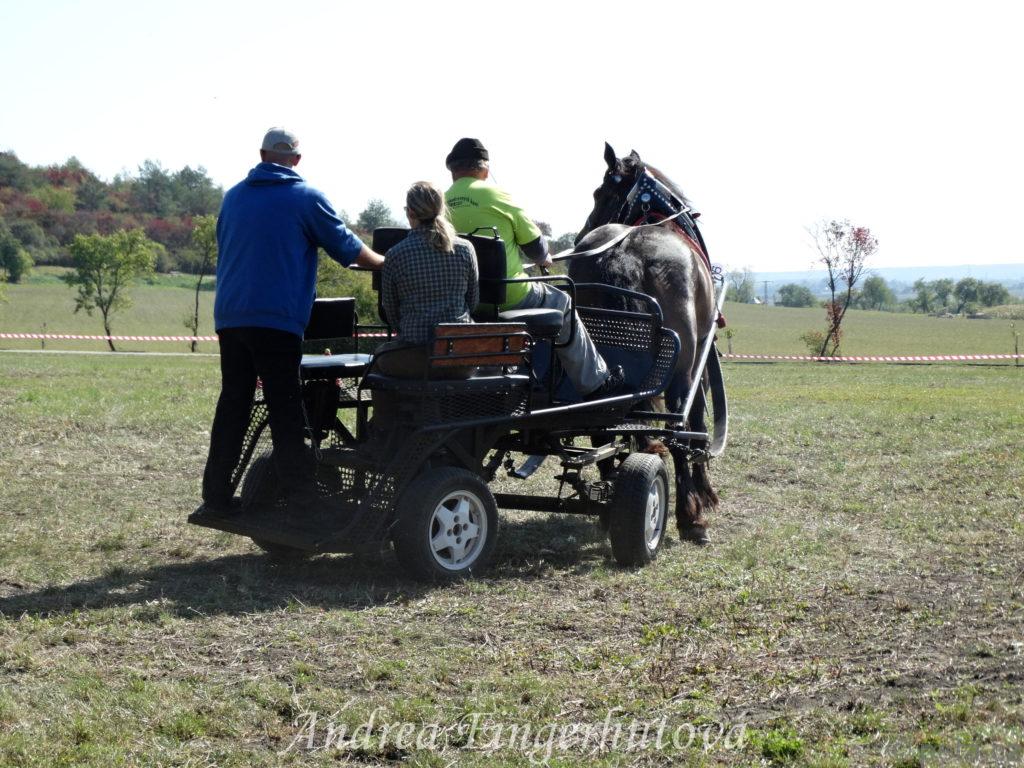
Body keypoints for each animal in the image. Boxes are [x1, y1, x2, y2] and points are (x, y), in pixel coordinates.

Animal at [568, 143, 719, 543]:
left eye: (599, 193)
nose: (579, 233)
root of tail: (623, 253)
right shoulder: (699, 357)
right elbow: (698, 423)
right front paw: (704, 492)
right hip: (682, 368)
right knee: (677, 430)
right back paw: (690, 516)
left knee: (600, 430)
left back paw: (606, 502)